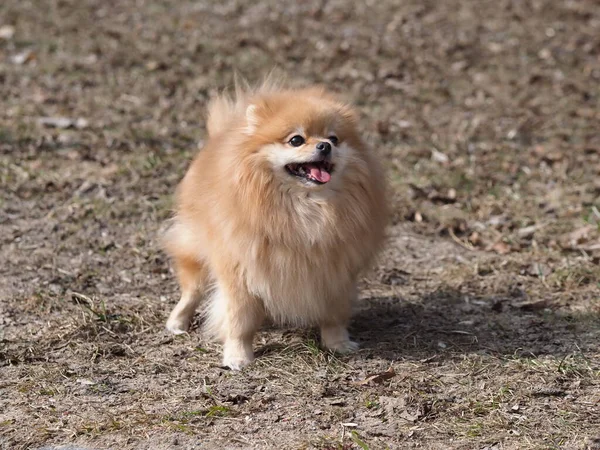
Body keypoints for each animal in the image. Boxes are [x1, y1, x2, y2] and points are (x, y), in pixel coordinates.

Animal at [163, 81, 390, 370]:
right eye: (296, 140)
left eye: (335, 138)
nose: (325, 145)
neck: (307, 209)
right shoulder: (240, 273)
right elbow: (239, 321)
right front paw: (238, 355)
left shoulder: (335, 273)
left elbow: (334, 315)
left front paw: (338, 343)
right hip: (196, 251)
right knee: (192, 290)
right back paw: (177, 322)